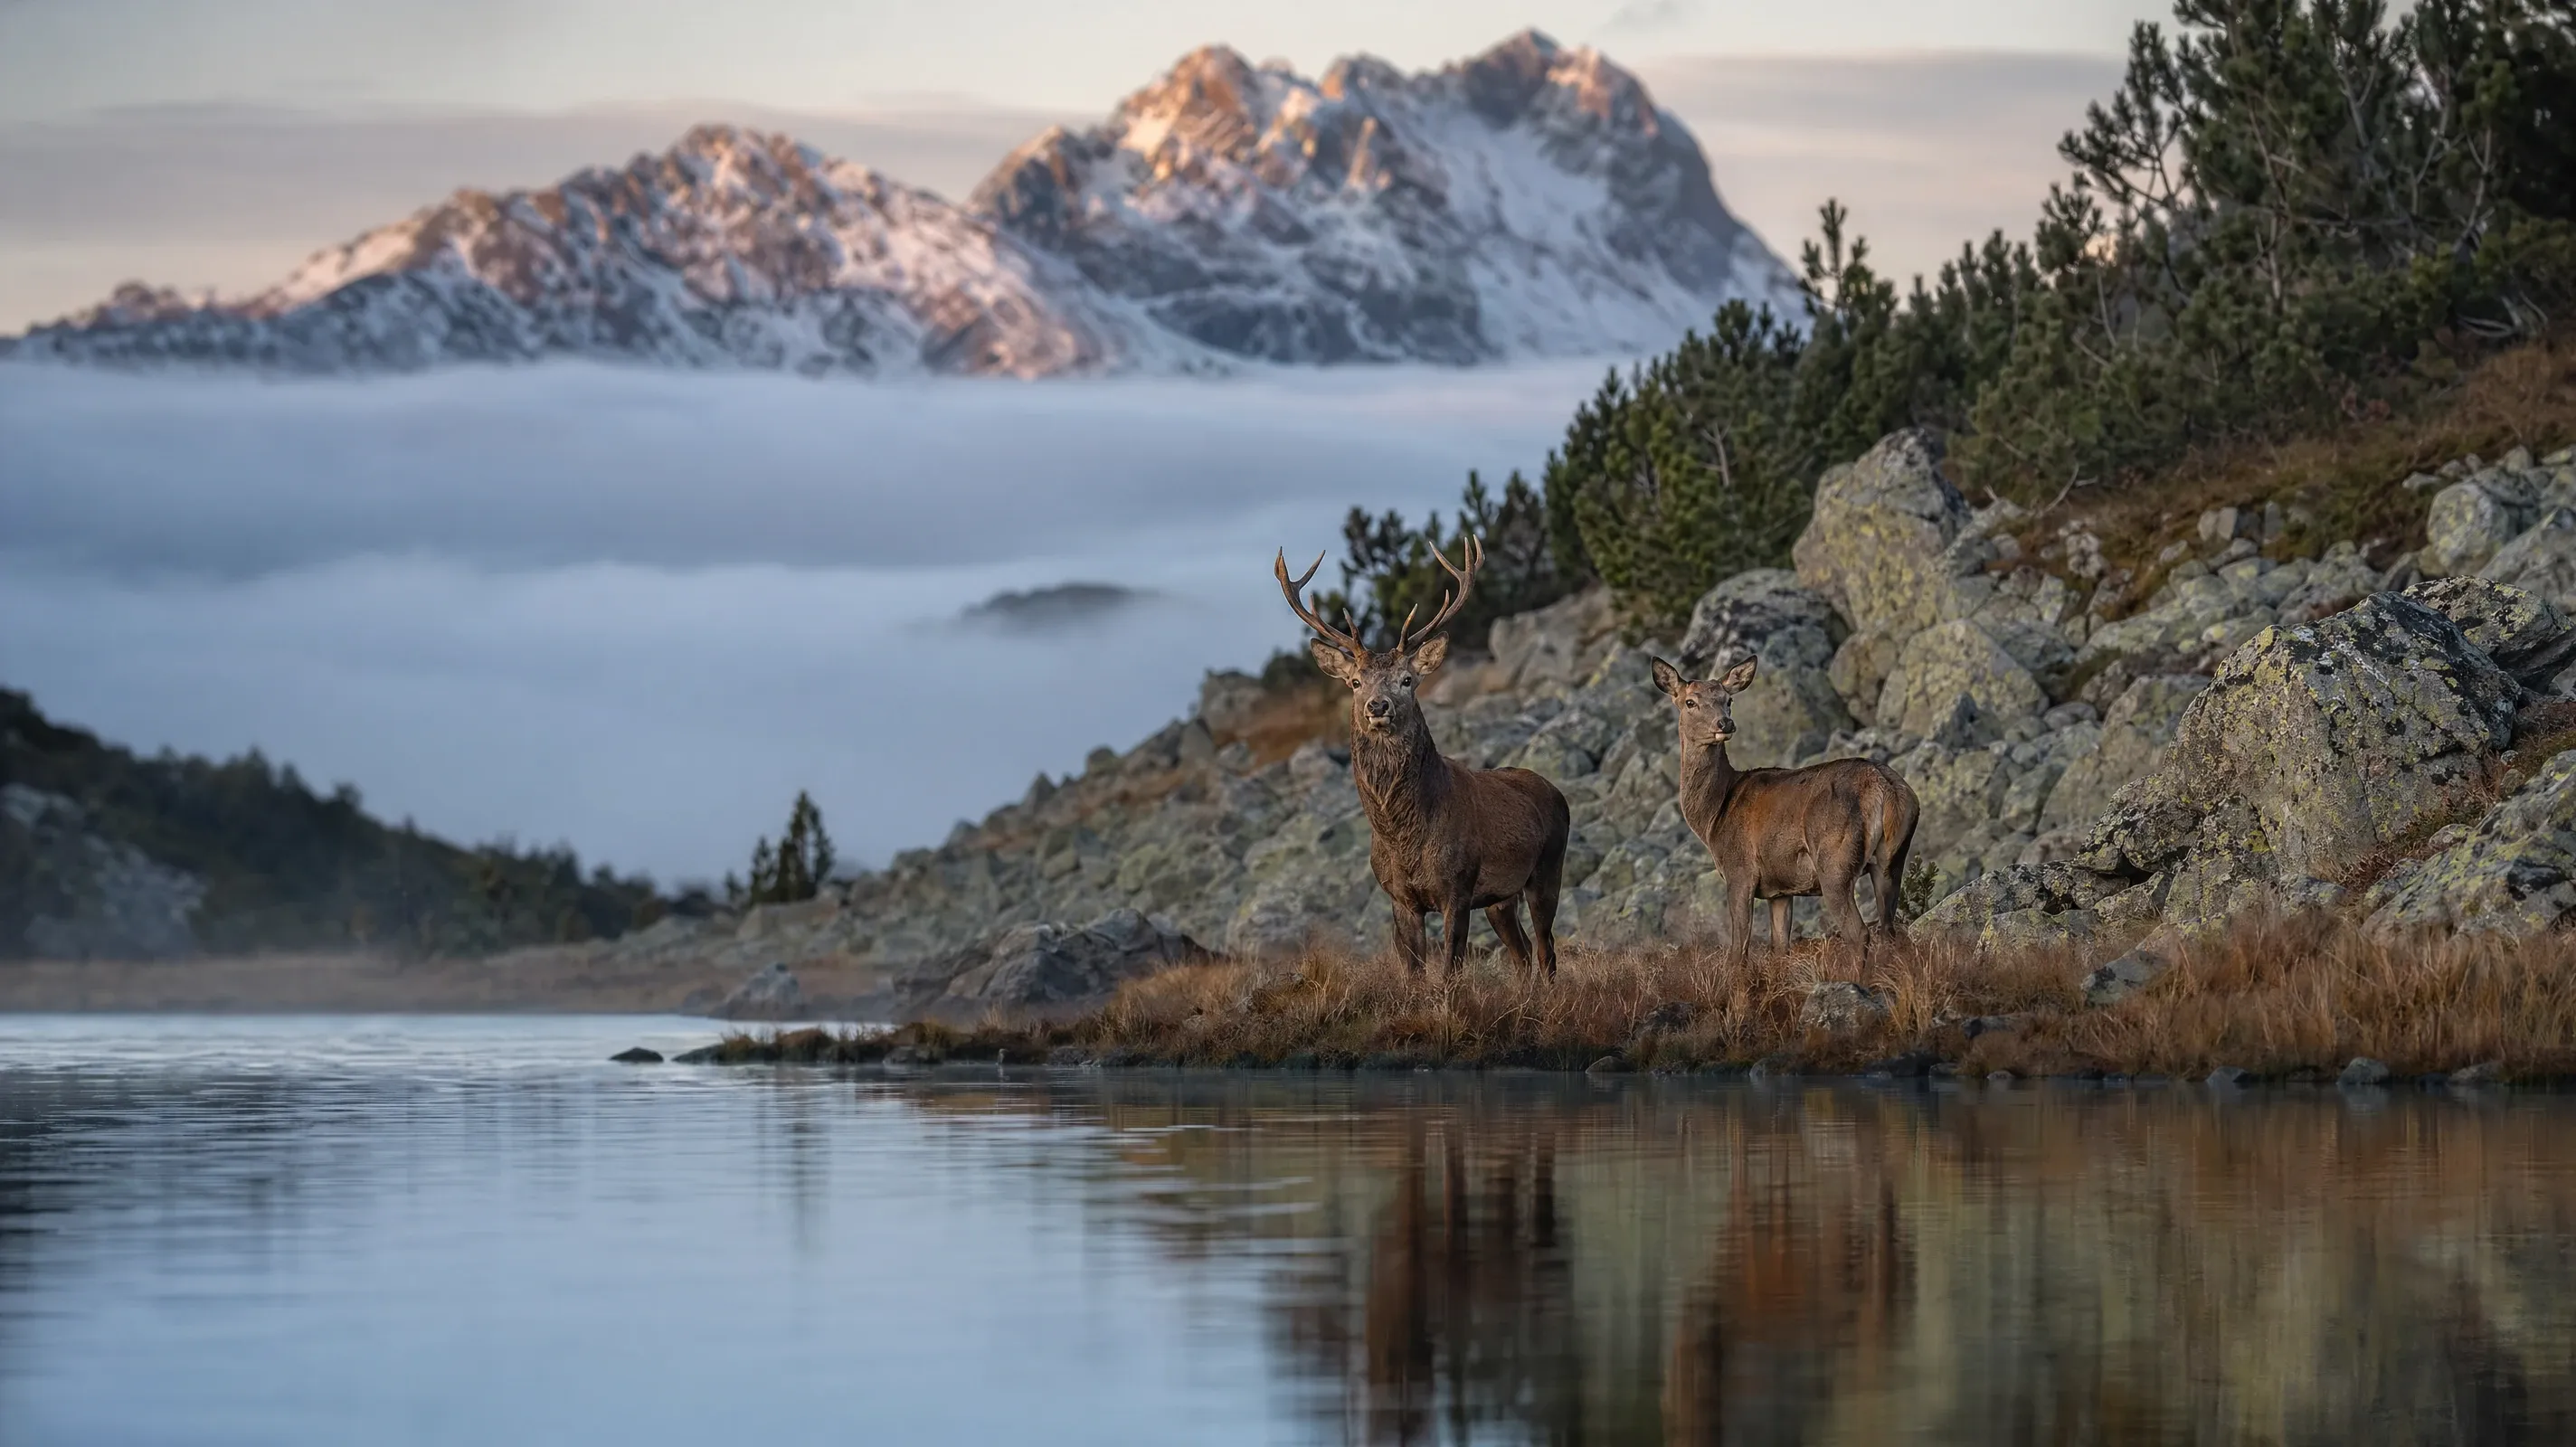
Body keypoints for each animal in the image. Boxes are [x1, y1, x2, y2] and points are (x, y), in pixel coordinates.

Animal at [1275, 536, 1572, 979]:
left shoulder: (1459, 886)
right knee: (1521, 957)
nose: (1378, 706)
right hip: (1501, 898)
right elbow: (1413, 976)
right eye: (1355, 681)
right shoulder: (1400, 899)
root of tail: (1556, 791)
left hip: (1548, 868)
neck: (1404, 838)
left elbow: (1449, 970)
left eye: (1407, 679)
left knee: (1546, 950)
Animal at [1649, 653, 1920, 968]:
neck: (1714, 815)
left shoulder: (1739, 871)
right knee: (1890, 929)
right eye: (1690, 702)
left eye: (1728, 700)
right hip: (1892, 859)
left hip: (1834, 859)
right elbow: (1780, 948)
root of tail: (1885, 788)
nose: (1725, 723)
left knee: (1859, 932)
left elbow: (1738, 951)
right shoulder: (1779, 891)